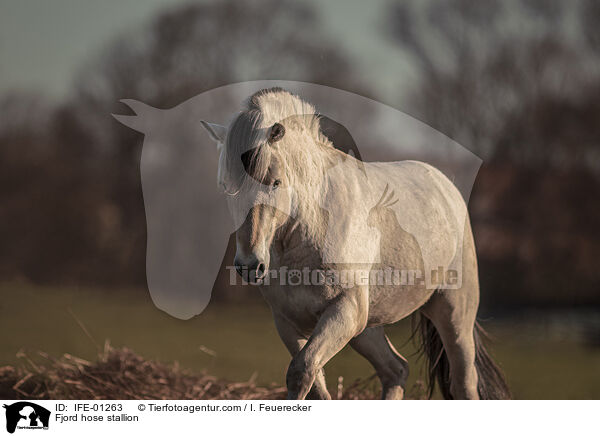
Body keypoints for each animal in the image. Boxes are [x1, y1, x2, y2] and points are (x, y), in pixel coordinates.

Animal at [200, 87, 506, 400]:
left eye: (275, 182)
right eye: (226, 186)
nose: (250, 265)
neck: (309, 229)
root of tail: (446, 187)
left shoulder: (345, 311)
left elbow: (301, 371)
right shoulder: (288, 322)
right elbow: (315, 386)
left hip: (454, 316)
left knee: (463, 382)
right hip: (367, 329)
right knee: (396, 370)